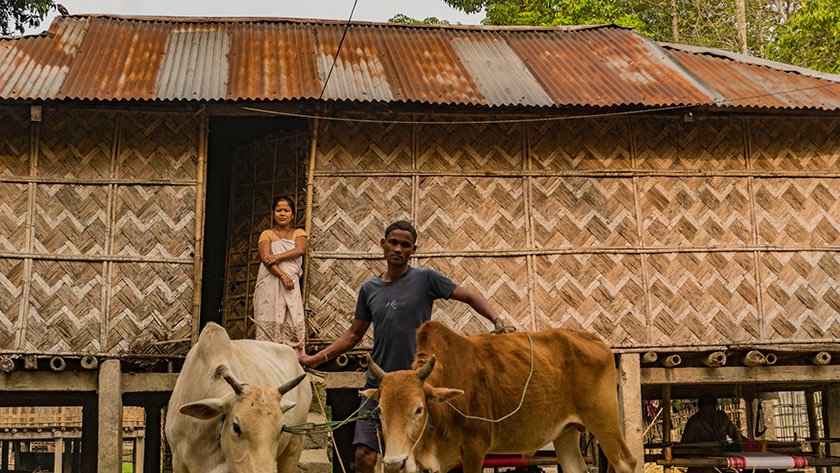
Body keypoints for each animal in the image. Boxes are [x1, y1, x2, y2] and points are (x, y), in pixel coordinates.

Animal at [360, 318, 636, 472]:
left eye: (418, 409)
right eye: (380, 411)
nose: (393, 464)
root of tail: (597, 340)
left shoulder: (474, 448)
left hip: (603, 420)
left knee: (626, 462)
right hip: (566, 433)